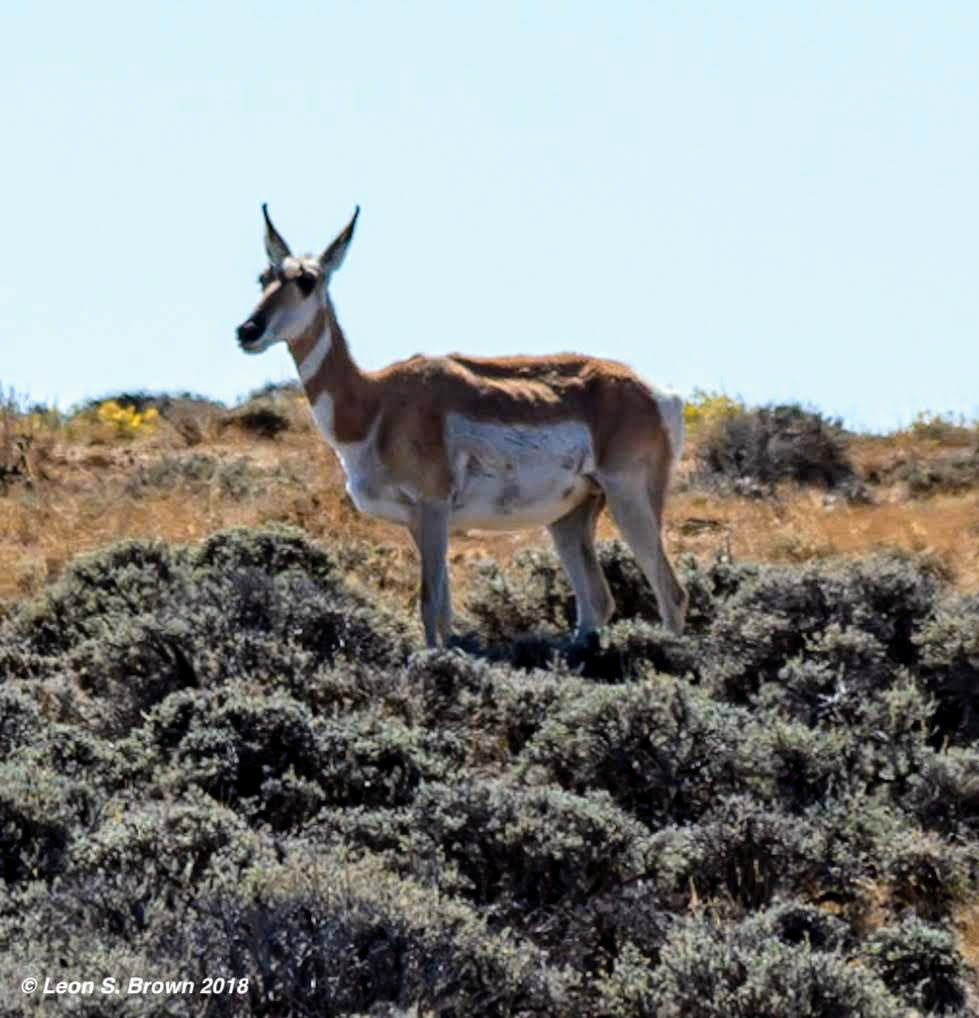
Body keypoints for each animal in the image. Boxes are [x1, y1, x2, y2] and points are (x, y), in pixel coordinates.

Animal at [235, 206, 688, 647]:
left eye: (307, 280)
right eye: (263, 277)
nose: (247, 330)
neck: (376, 401)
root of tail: (658, 392)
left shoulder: (433, 509)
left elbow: (428, 605)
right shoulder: (419, 523)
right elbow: (444, 613)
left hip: (629, 498)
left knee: (670, 592)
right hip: (569, 518)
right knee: (597, 600)